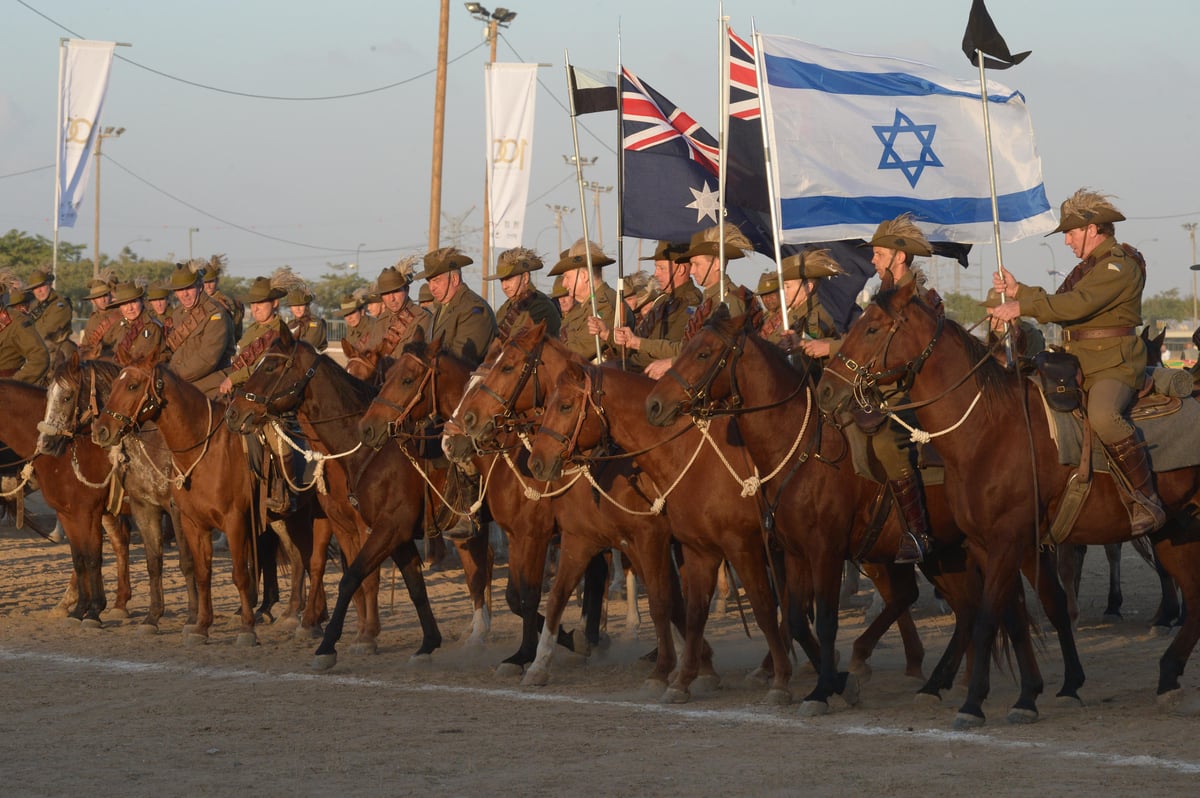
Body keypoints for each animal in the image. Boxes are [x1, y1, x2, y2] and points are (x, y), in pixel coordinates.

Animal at [223, 324, 489, 667]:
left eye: (269, 367)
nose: (233, 412)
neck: (369, 453)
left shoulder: (385, 529)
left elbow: (354, 578)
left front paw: (338, 643)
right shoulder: (383, 532)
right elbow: (411, 585)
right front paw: (427, 642)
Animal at [360, 338, 691, 691]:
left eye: (407, 379)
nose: (367, 427)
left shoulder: (536, 535)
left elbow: (527, 596)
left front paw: (528, 653)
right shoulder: (519, 535)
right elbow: (513, 595)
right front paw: (540, 647)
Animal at [648, 304, 1089, 715]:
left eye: (704, 353)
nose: (654, 404)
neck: (801, 446)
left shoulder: (822, 550)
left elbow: (824, 620)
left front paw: (823, 689)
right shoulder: (792, 551)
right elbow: (795, 619)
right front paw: (839, 681)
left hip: (1004, 544)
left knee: (1035, 601)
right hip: (948, 552)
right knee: (970, 609)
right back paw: (942, 683)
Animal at [816, 277, 1200, 724]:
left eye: (873, 329)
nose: (826, 389)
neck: (989, 429)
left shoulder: (1008, 541)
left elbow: (987, 617)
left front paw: (973, 704)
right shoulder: (993, 545)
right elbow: (1017, 616)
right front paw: (1032, 695)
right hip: (1174, 529)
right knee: (1195, 595)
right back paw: (1168, 676)